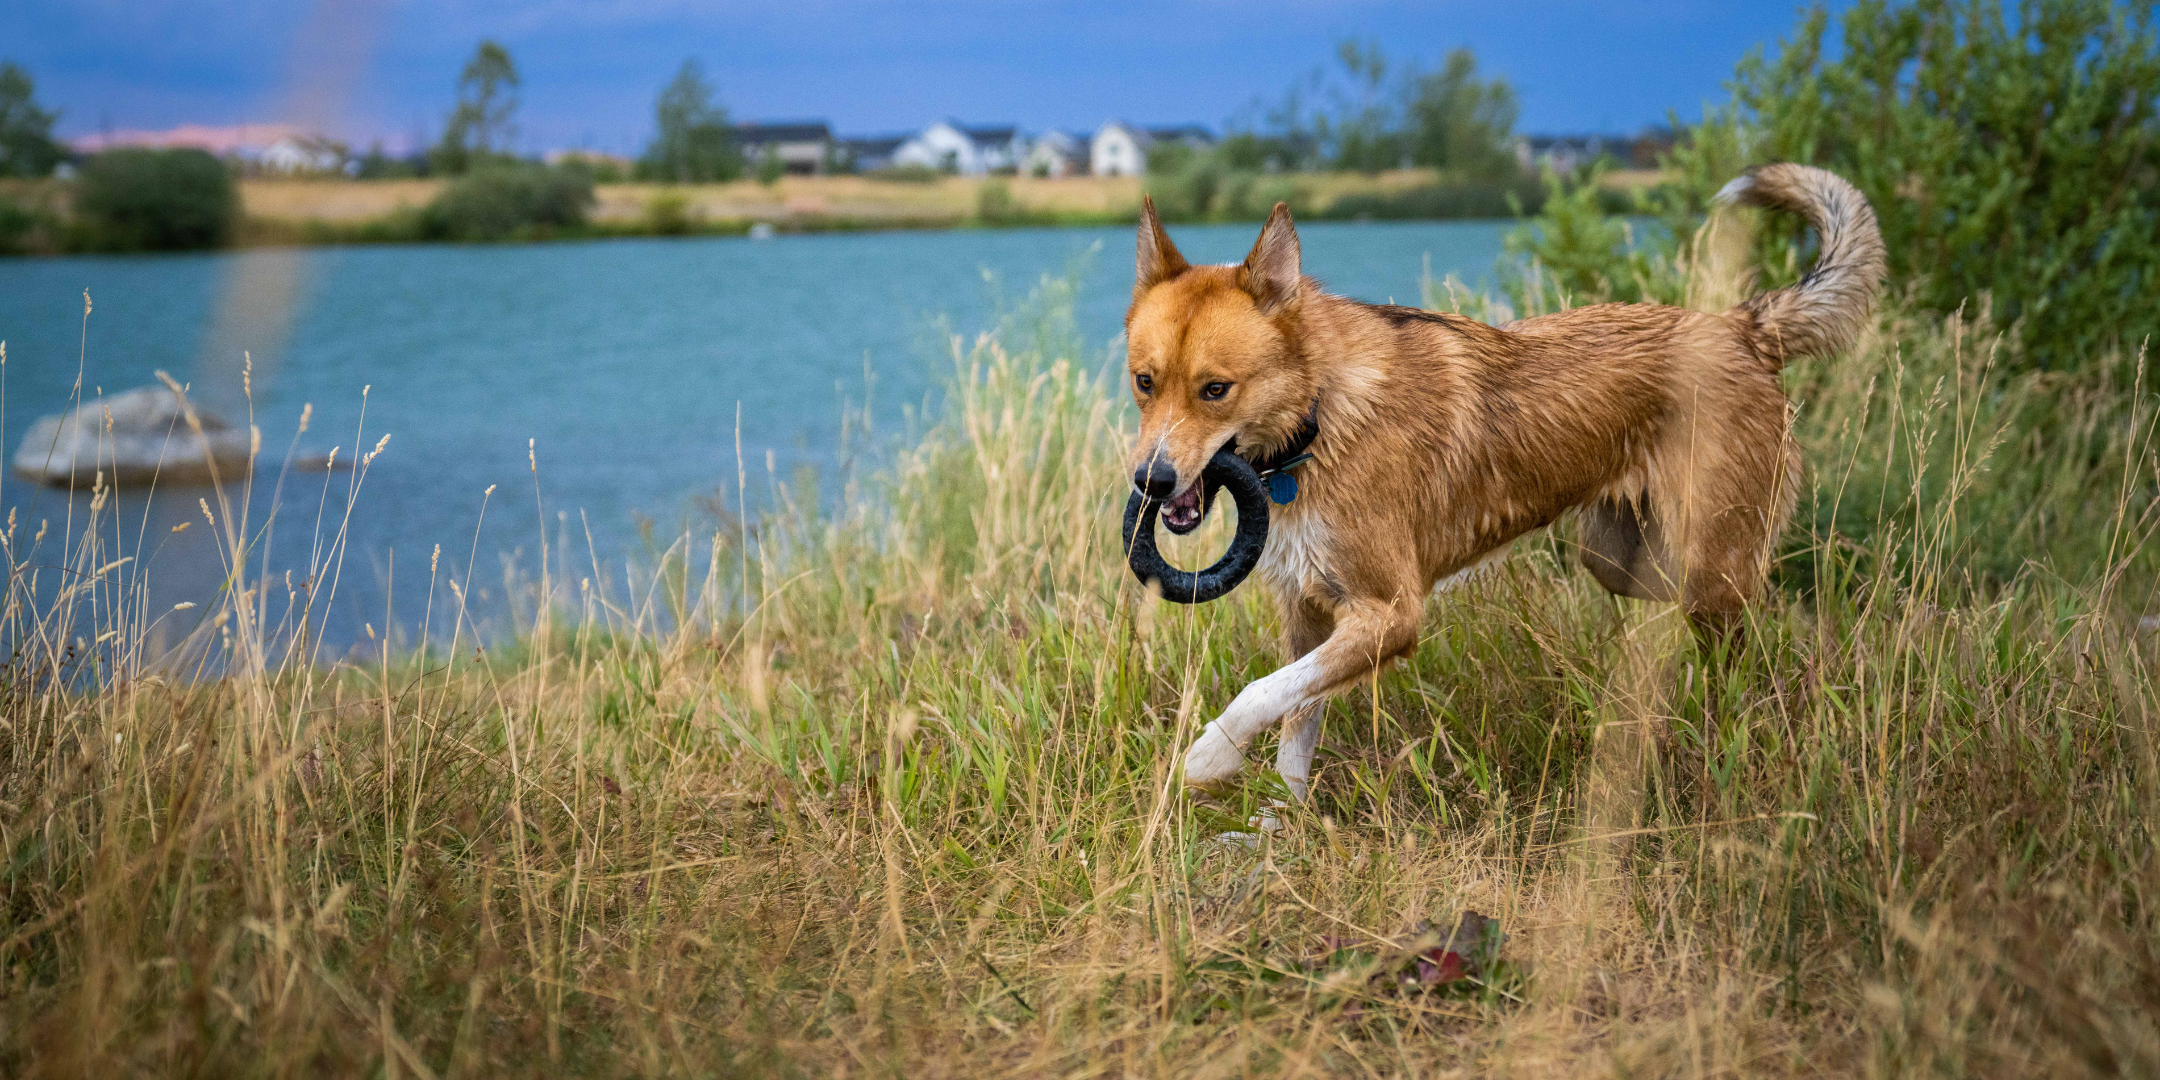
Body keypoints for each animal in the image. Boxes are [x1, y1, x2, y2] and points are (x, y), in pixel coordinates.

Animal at [1123, 164, 1883, 799]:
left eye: (1216, 390)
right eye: (1144, 382)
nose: (1152, 482)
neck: (1320, 414)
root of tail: (1744, 327)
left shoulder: (1389, 615)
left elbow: (1259, 693)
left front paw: (1208, 755)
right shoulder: (1310, 616)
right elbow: (1293, 724)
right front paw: (1280, 830)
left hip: (1712, 573)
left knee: (1762, 639)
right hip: (1623, 560)